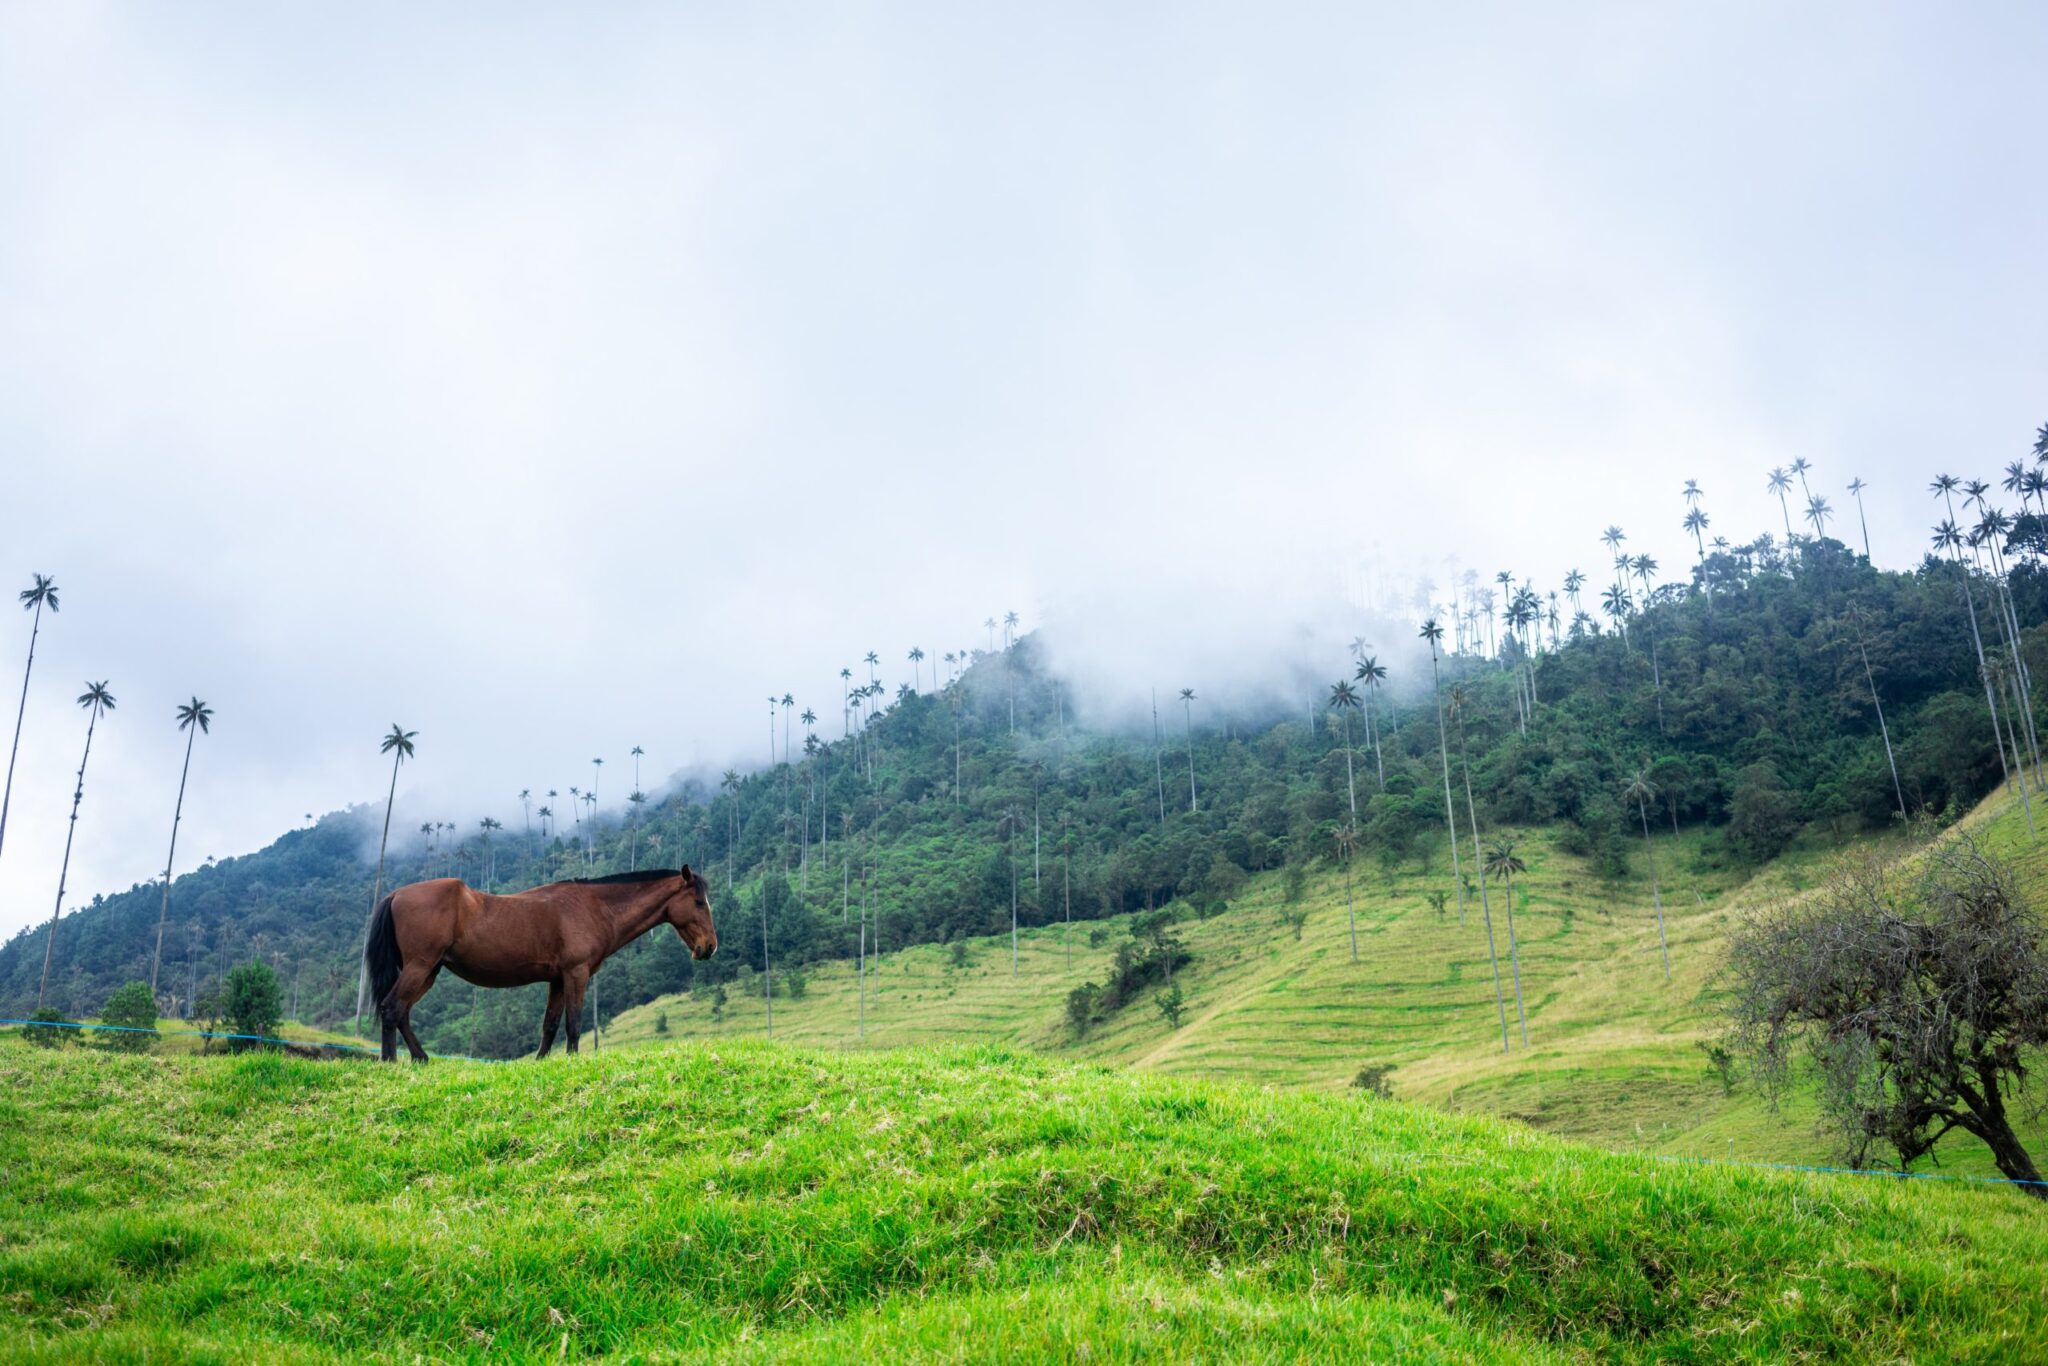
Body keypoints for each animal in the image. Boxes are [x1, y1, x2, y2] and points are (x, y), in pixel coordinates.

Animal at [364, 872, 716, 1064]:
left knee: (401, 1011)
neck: (593, 907)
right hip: (420, 967)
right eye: (699, 902)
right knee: (392, 1008)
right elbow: (573, 1023)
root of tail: (396, 894)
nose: (709, 947)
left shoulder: (557, 980)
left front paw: (541, 1060)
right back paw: (391, 1060)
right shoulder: (576, 974)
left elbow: (550, 1025)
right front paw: (572, 1058)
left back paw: (418, 1058)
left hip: (428, 971)